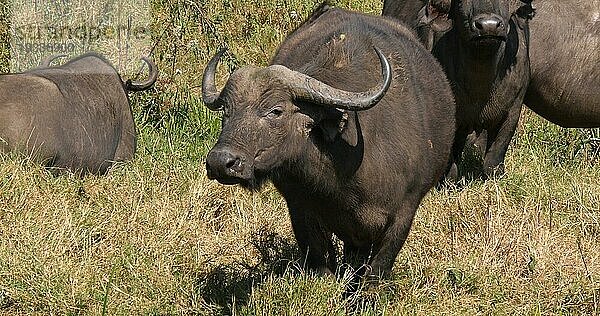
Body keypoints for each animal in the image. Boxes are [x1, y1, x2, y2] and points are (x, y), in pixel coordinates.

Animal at [202, 4, 454, 286]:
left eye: (276, 110)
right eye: (226, 110)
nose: (220, 162)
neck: (346, 175)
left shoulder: (404, 212)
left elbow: (377, 270)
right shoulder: (300, 209)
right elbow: (321, 262)